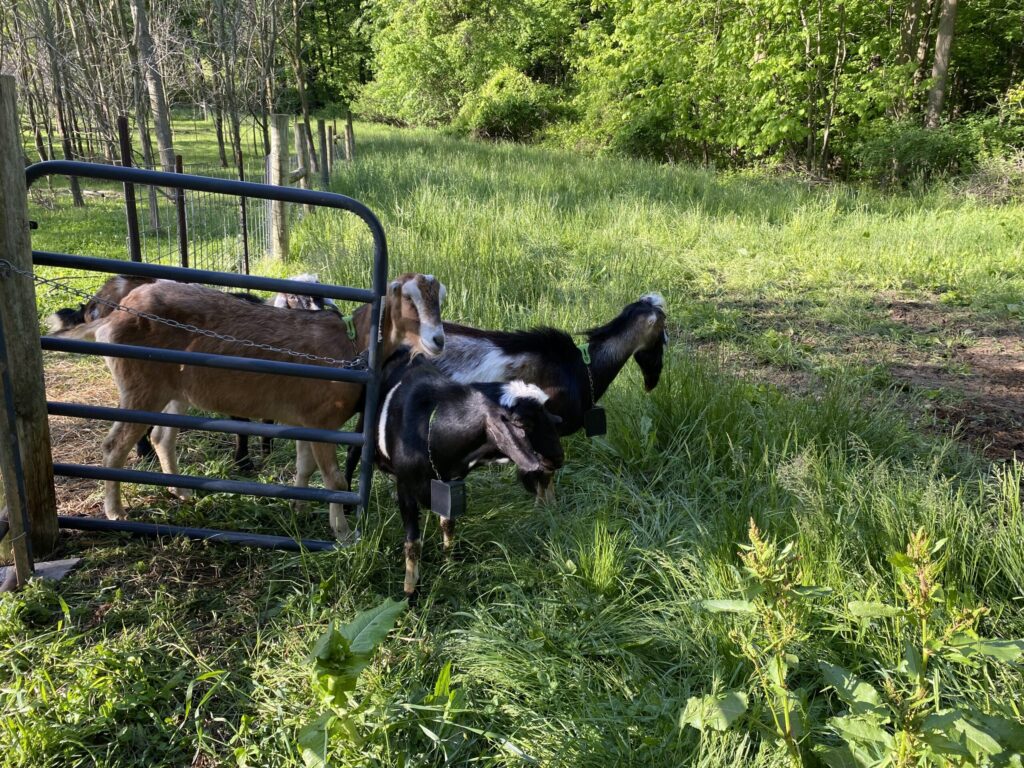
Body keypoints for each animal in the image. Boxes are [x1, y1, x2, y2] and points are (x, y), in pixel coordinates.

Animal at [53, 273, 447, 541]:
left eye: (440, 297)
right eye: (407, 297)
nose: (438, 340)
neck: (353, 343)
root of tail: (111, 316)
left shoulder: (306, 418)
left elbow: (304, 468)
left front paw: (299, 507)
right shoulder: (323, 421)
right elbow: (334, 480)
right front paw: (344, 534)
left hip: (172, 391)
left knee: (162, 437)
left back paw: (180, 492)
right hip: (140, 388)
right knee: (115, 446)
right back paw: (116, 512)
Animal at [375, 347, 564, 597]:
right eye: (522, 423)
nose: (558, 458)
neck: (431, 426)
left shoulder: (452, 482)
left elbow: (448, 523)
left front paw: (449, 562)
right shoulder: (406, 487)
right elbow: (413, 544)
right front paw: (410, 593)